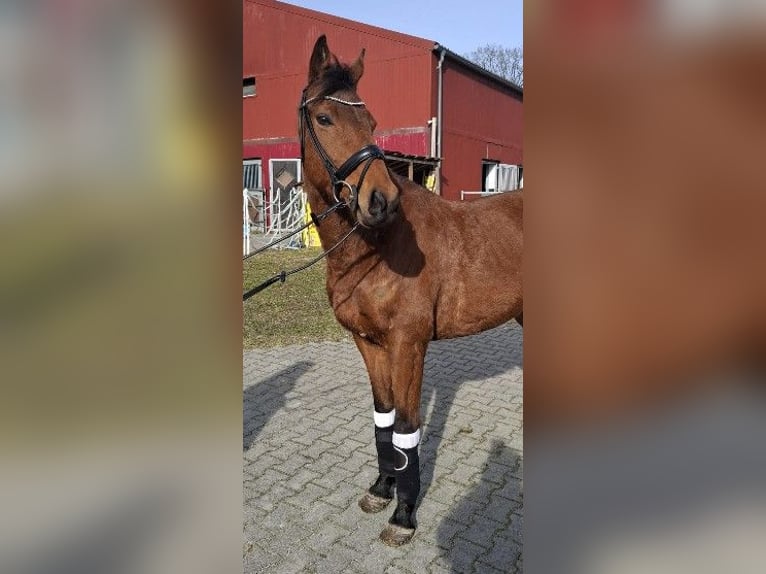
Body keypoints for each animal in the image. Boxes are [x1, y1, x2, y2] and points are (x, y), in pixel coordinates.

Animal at [298, 35, 523, 546]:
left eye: (372, 121)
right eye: (324, 118)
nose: (381, 201)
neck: (378, 248)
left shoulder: (409, 345)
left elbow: (405, 425)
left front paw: (403, 515)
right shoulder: (368, 343)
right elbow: (383, 418)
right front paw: (382, 489)